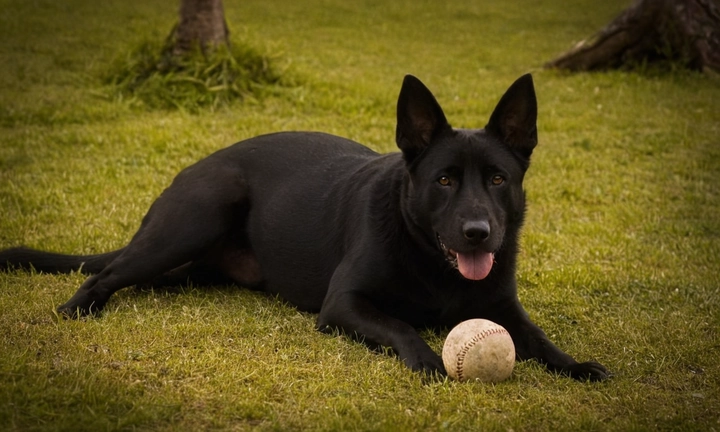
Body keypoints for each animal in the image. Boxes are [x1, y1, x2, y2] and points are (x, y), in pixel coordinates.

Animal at [0, 75, 608, 382]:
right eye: (444, 180)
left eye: (499, 178)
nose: (479, 232)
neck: (432, 263)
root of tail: (197, 165)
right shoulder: (344, 305)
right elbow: (402, 326)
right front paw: (428, 361)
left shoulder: (504, 308)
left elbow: (540, 340)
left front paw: (574, 365)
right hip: (187, 225)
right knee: (104, 274)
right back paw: (79, 307)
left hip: (186, 269)